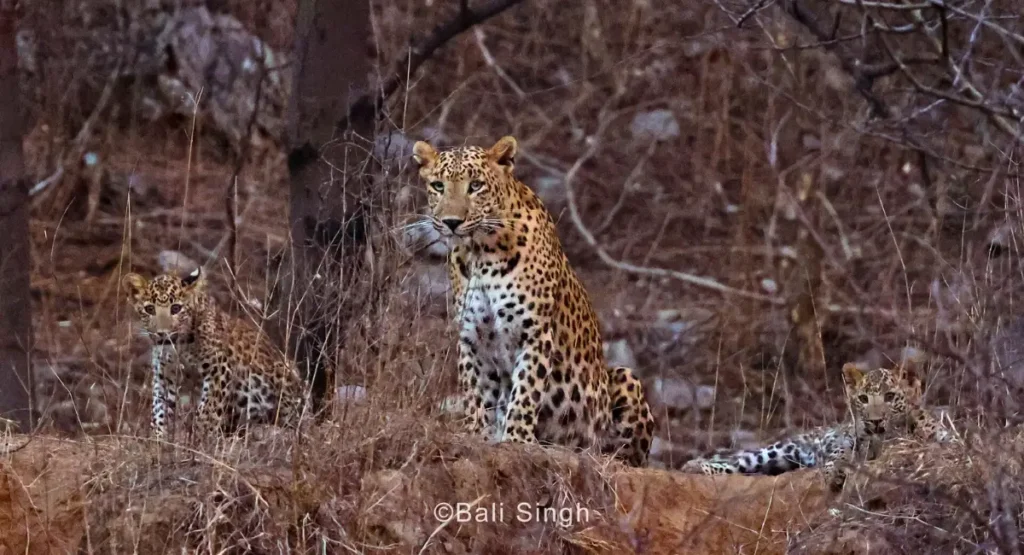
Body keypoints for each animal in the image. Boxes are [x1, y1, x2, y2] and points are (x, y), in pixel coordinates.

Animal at [122, 266, 309, 441]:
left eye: (176, 308)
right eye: (149, 309)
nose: (162, 333)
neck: (178, 347)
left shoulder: (219, 370)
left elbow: (207, 411)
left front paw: (199, 441)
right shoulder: (164, 377)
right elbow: (159, 410)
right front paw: (158, 441)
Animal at [411, 135, 656, 467]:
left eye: (475, 186)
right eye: (438, 186)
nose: (451, 222)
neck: (480, 253)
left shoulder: (534, 332)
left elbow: (526, 389)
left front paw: (516, 438)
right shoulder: (472, 336)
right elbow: (475, 390)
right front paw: (477, 434)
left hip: (623, 380)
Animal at [681, 363, 953, 490]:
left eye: (890, 396)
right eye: (863, 398)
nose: (874, 420)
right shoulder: (843, 440)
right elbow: (842, 451)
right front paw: (835, 472)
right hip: (781, 450)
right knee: (739, 462)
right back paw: (694, 466)